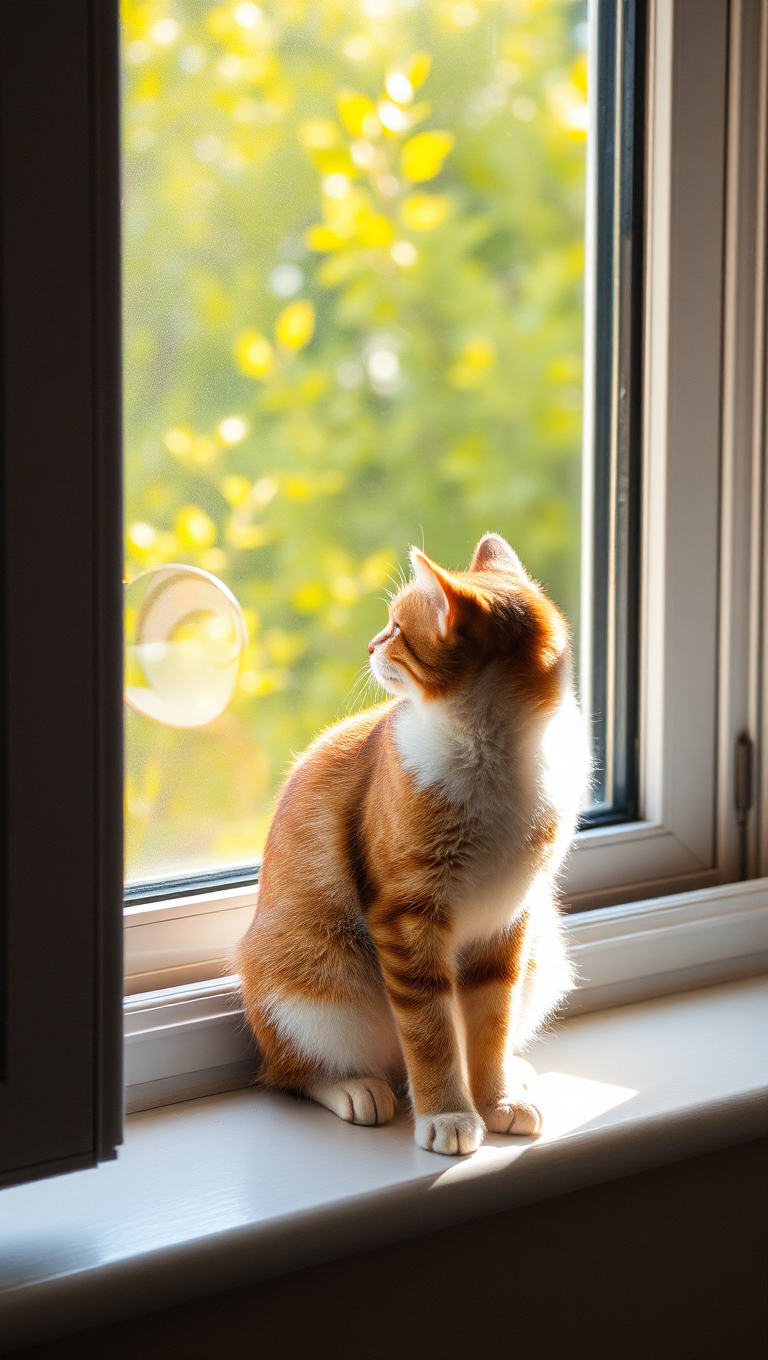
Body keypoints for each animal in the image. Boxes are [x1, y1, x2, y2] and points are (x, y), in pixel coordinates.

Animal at [237, 535, 587, 1153]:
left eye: (398, 627)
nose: (373, 643)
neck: (495, 757)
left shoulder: (509, 922)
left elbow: (488, 1029)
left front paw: (496, 1097)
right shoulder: (406, 919)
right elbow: (430, 1034)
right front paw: (447, 1113)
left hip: (541, 953)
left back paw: (513, 1075)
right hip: (314, 986)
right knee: (292, 1073)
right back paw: (354, 1087)